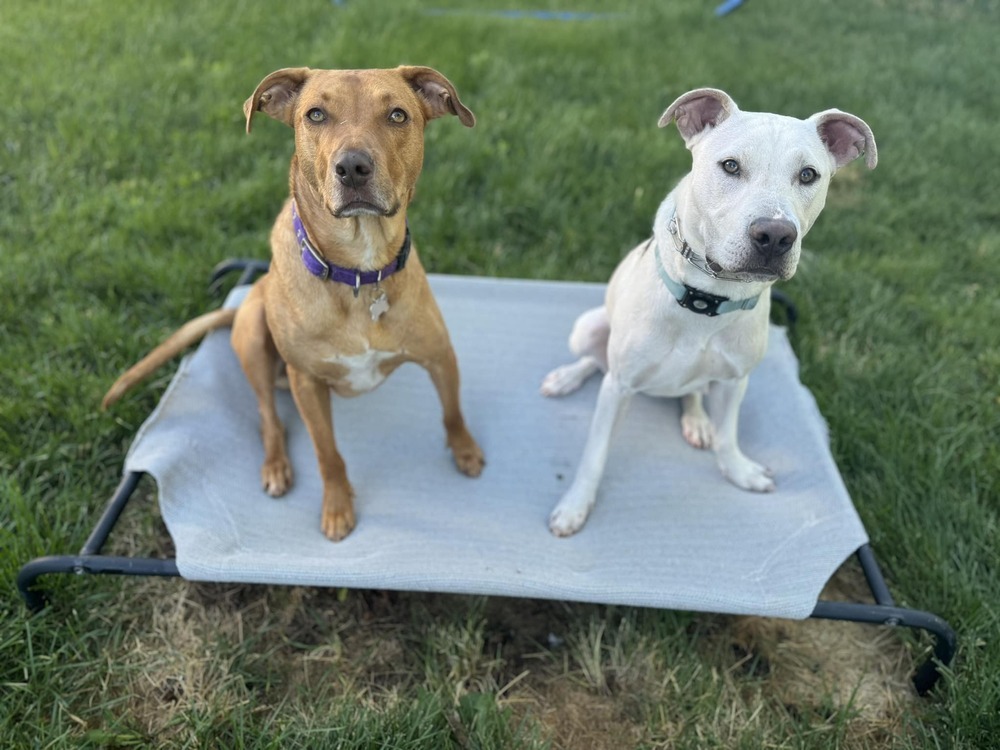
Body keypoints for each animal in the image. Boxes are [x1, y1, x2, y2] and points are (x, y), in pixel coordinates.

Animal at [103, 67, 486, 540]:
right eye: (315, 114)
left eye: (397, 115)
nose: (352, 167)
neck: (358, 272)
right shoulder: (307, 384)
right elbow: (327, 453)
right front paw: (337, 507)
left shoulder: (440, 355)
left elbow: (453, 412)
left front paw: (465, 450)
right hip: (253, 333)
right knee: (268, 416)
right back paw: (275, 466)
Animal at [540, 88, 876, 536]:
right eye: (730, 166)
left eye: (808, 175)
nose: (775, 236)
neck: (705, 300)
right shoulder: (619, 387)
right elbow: (595, 453)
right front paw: (575, 505)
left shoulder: (735, 381)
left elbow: (728, 435)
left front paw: (738, 470)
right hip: (588, 329)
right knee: (594, 360)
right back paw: (565, 378)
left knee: (692, 393)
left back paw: (696, 420)